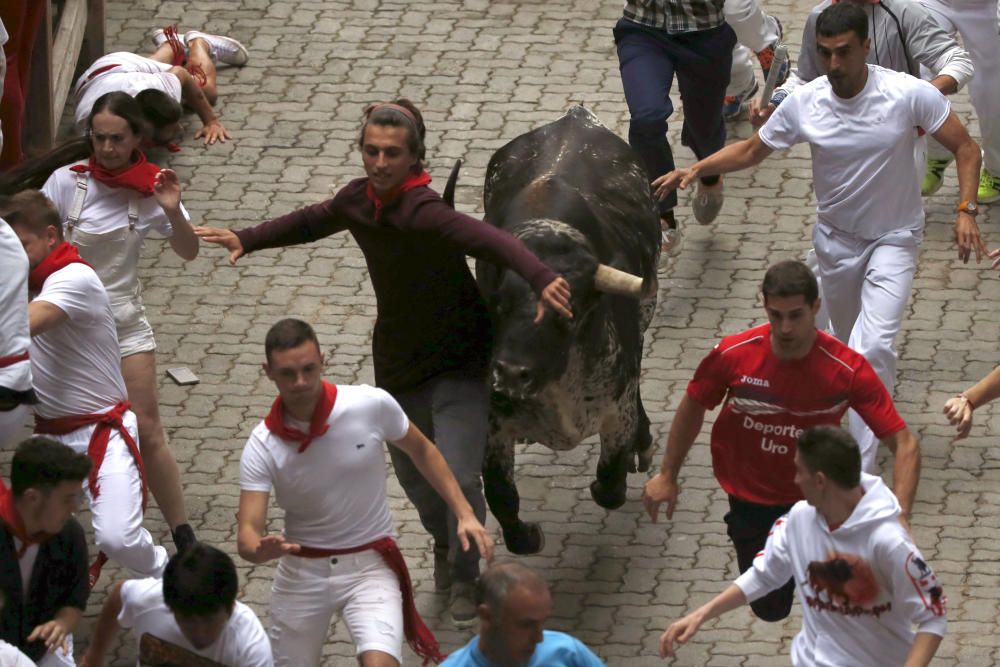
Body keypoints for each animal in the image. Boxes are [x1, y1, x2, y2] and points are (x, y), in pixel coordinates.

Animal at [450, 105, 660, 552]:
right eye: (498, 303)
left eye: (570, 312)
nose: (512, 373)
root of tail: (574, 116)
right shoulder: (493, 424)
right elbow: (500, 493)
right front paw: (526, 536)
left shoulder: (616, 409)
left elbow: (610, 483)